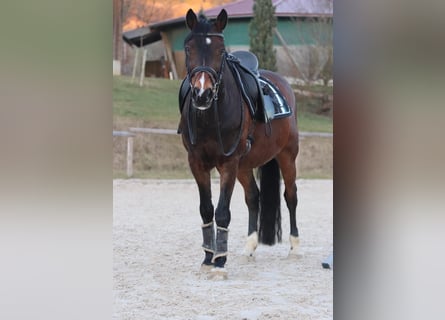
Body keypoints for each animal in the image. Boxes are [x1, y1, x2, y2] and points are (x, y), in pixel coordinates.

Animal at [177, 8, 298, 276]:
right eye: (188, 47)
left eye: (221, 50)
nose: (202, 94)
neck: (211, 115)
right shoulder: (196, 163)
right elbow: (206, 209)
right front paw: (208, 257)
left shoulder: (228, 163)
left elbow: (222, 212)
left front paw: (220, 262)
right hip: (245, 165)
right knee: (254, 197)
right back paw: (250, 246)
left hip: (287, 155)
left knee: (291, 196)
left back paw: (295, 246)